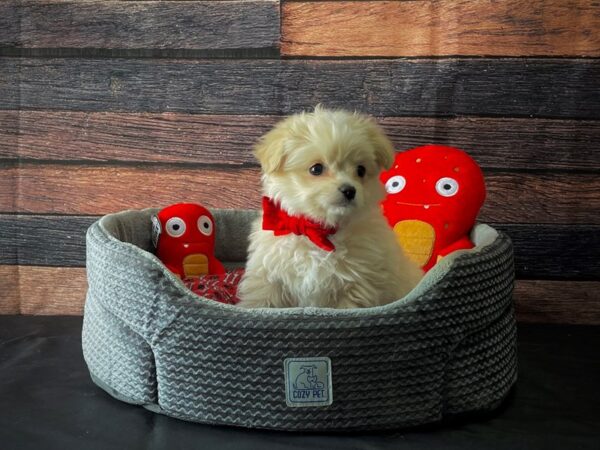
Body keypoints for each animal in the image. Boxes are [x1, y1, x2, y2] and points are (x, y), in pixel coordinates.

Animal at [238, 107, 422, 308]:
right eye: (316, 169)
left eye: (361, 170)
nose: (349, 190)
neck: (319, 230)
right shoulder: (269, 277)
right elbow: (262, 300)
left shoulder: (357, 285)